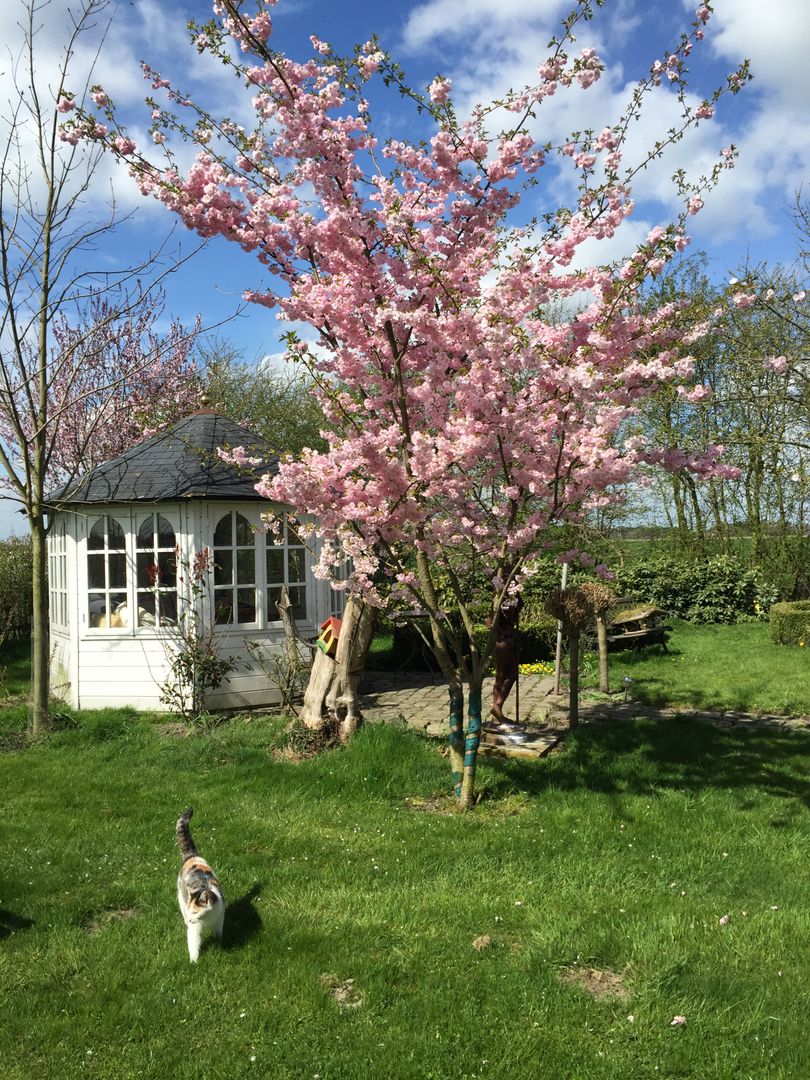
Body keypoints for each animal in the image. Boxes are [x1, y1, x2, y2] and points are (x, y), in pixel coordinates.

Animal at [177, 807, 226, 967]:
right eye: (191, 911)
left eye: (195, 912)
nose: (190, 919)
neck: (207, 919)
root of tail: (192, 857)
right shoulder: (194, 929)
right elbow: (193, 943)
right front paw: (193, 962)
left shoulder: (220, 918)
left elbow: (219, 934)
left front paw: (219, 944)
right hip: (180, 897)